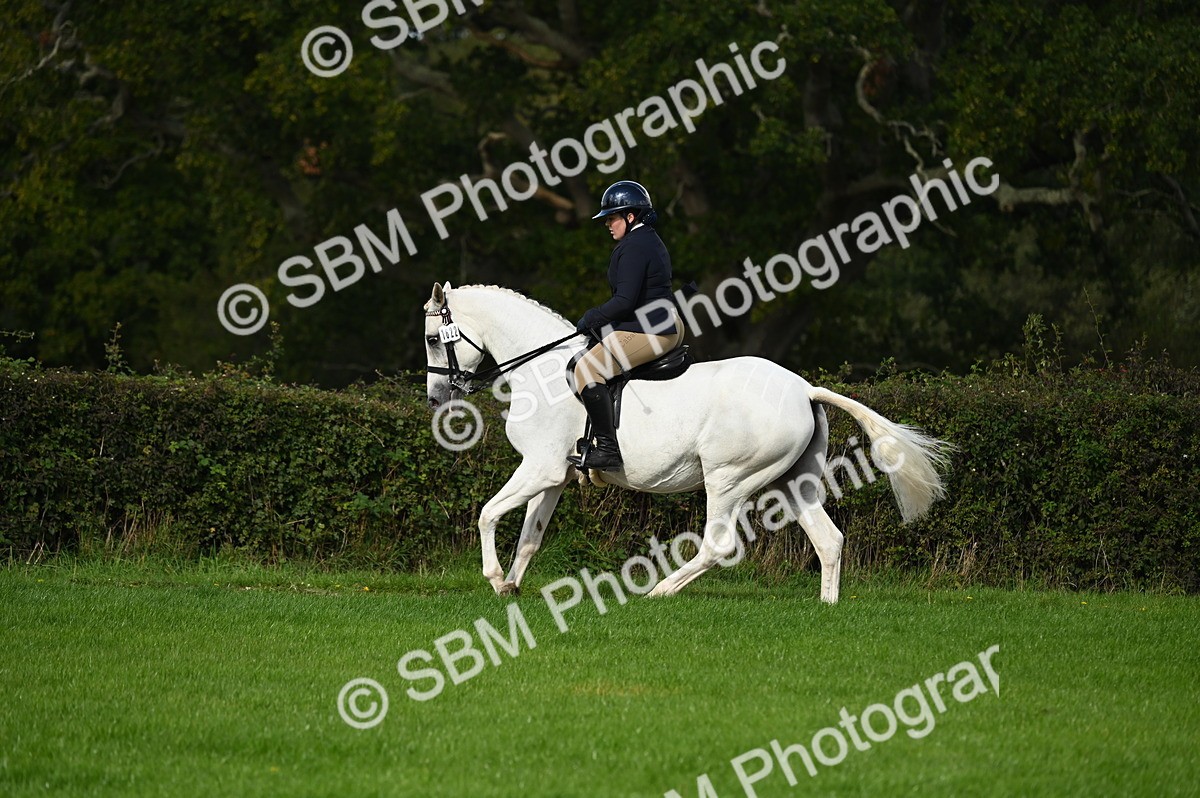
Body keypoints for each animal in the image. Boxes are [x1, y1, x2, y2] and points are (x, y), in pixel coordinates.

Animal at [423, 282, 951, 602]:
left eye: (432, 338)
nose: (436, 398)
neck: (542, 371)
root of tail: (803, 388)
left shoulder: (539, 467)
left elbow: (487, 513)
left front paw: (494, 579)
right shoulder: (552, 475)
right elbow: (530, 537)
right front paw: (511, 587)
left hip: (729, 478)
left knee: (719, 545)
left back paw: (658, 592)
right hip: (792, 482)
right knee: (829, 539)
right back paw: (827, 607)